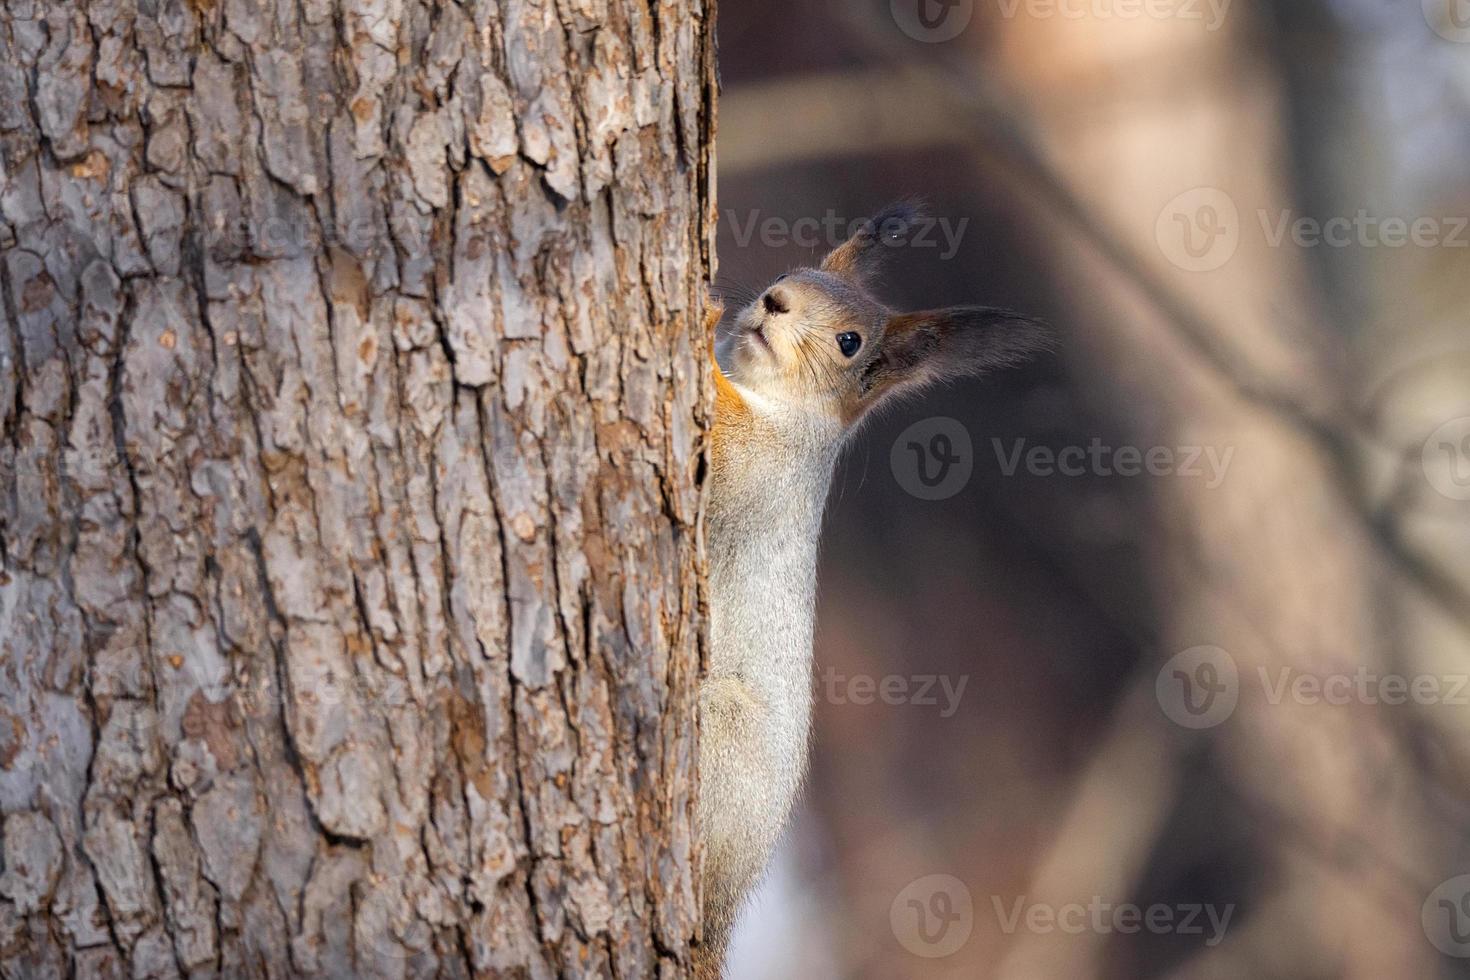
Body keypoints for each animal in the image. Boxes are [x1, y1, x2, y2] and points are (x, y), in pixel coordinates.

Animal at [693, 202, 1052, 975]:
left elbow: (727, 456)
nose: (775, 300)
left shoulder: (767, 471)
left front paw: (700, 323)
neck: (774, 400)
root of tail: (719, 913)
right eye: (788, 270)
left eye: (849, 342)